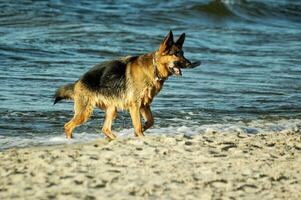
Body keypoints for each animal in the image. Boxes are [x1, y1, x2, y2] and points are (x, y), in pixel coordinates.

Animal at [54, 30, 199, 139]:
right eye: (175, 54)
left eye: (183, 53)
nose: (190, 64)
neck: (154, 68)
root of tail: (78, 82)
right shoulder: (135, 105)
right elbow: (138, 125)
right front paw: (140, 135)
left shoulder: (144, 104)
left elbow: (150, 121)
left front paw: (140, 132)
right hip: (85, 113)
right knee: (68, 126)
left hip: (112, 109)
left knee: (105, 129)